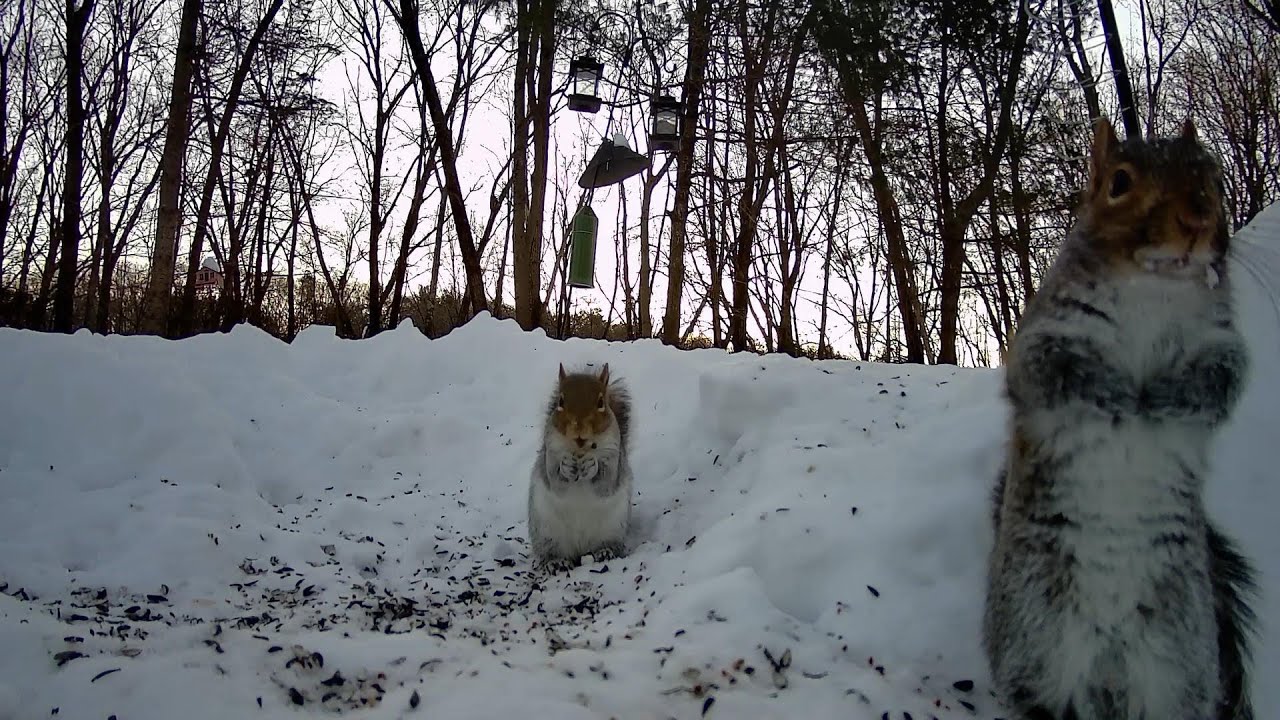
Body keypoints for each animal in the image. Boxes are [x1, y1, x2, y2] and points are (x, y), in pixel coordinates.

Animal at [527, 363, 634, 572]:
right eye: (560, 401)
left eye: (601, 402)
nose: (579, 430)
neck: (579, 451)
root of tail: (581, 549)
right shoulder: (549, 452)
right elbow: (554, 481)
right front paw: (566, 466)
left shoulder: (614, 456)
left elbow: (607, 482)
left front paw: (592, 465)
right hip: (547, 533)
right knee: (551, 552)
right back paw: (556, 562)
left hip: (613, 528)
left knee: (607, 545)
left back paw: (605, 552)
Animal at [984, 118, 1257, 720]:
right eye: (1120, 182)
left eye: (1213, 178)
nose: (1197, 218)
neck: (1153, 286)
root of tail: (1108, 658)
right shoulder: (1045, 334)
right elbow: (1053, 369)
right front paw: (1117, 397)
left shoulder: (1220, 344)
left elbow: (1220, 384)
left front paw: (1163, 398)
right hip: (1034, 629)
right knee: (1036, 691)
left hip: (1181, 654)